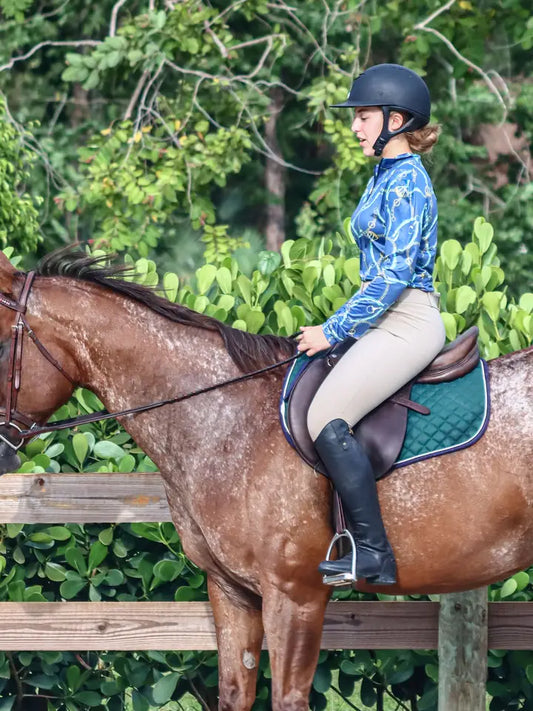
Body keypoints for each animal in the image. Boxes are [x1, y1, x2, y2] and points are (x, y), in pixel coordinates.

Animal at [0, 246, 528, 711]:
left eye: (3, 343)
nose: (2, 453)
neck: (227, 418)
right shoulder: (232, 593)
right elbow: (235, 693)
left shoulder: (294, 596)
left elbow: (287, 699)